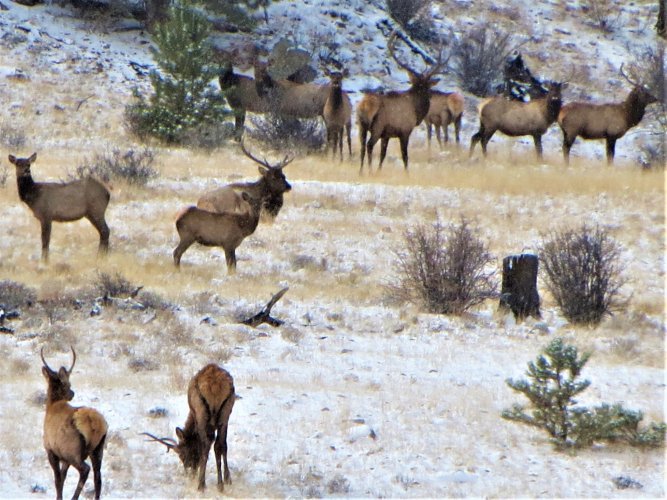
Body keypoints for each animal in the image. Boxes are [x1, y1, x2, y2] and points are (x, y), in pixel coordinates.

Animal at [41, 346, 107, 500]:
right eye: (68, 384)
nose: (72, 394)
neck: (51, 407)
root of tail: (95, 425)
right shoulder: (64, 459)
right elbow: (63, 478)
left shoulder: (51, 451)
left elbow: (58, 480)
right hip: (98, 449)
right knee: (98, 477)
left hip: (73, 451)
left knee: (85, 470)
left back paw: (74, 497)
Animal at [143, 364, 235, 492]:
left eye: (181, 453)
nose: (188, 468)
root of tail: (215, 387)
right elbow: (221, 445)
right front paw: (227, 479)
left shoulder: (197, 416)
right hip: (225, 412)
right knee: (220, 444)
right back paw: (221, 483)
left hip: (201, 412)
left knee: (206, 445)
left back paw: (201, 484)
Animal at [358, 34, 444, 173]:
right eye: (427, 87)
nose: (432, 95)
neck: (416, 110)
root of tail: (365, 105)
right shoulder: (404, 131)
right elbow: (405, 156)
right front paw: (407, 173)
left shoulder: (386, 135)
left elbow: (383, 154)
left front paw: (379, 171)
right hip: (377, 126)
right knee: (369, 145)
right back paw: (369, 171)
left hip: (362, 125)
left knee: (362, 146)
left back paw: (361, 172)